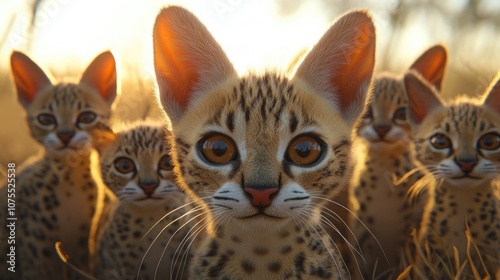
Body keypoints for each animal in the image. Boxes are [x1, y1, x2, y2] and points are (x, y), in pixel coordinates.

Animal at [7, 50, 116, 280]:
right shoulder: (32, 249)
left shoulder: (83, 246)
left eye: (86, 117)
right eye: (46, 119)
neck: (70, 182)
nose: (65, 135)